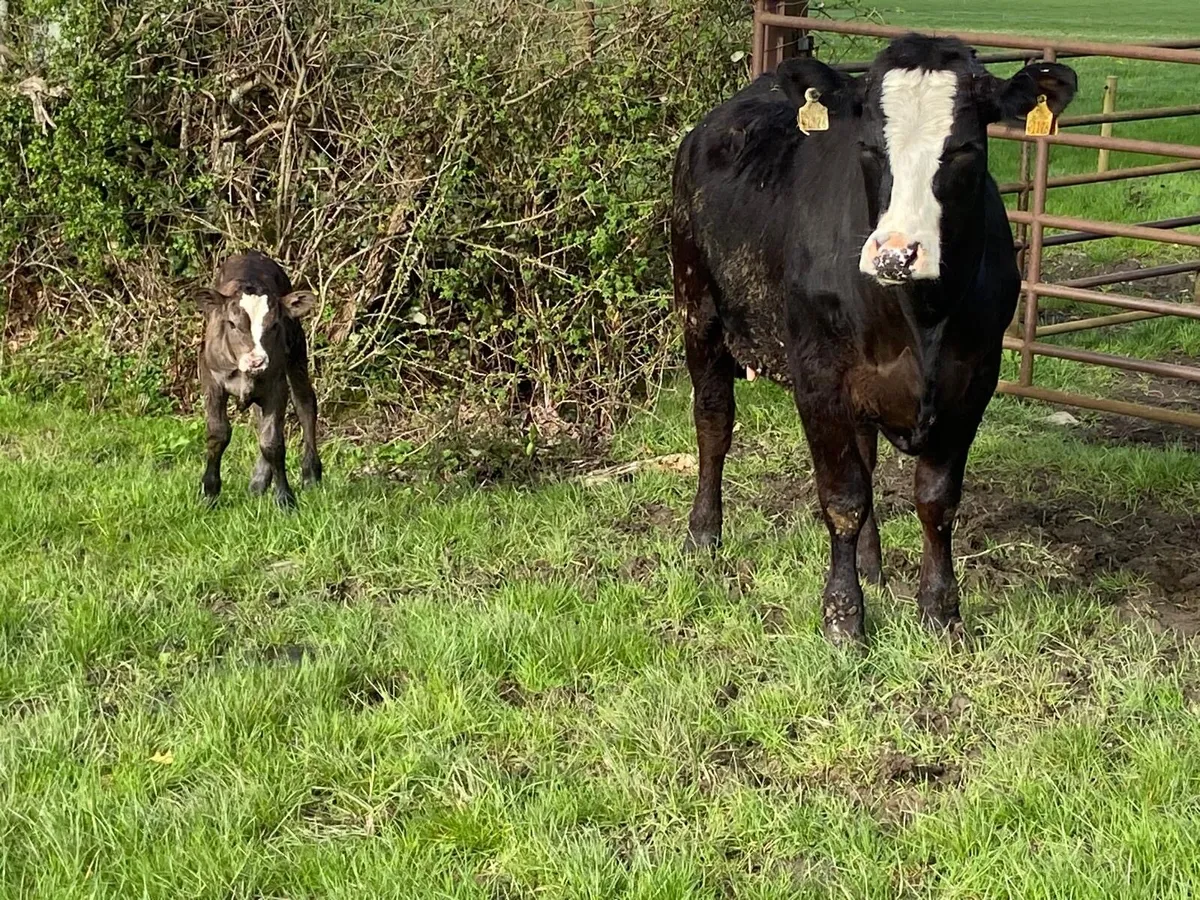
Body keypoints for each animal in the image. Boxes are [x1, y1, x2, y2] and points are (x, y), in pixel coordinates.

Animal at [196, 250, 322, 510]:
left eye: (273, 325)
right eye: (232, 324)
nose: (256, 361)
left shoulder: (276, 384)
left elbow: (273, 442)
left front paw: (284, 498)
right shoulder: (211, 377)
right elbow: (218, 433)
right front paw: (209, 492)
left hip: (297, 351)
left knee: (305, 404)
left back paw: (310, 474)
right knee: (260, 418)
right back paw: (258, 482)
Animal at [671, 35, 1076, 646]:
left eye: (963, 149)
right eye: (867, 147)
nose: (895, 254)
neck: (923, 317)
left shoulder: (974, 379)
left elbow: (936, 500)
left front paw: (940, 612)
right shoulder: (816, 376)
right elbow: (843, 497)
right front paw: (843, 620)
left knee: (863, 452)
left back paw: (871, 565)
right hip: (698, 307)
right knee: (714, 422)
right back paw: (704, 534)